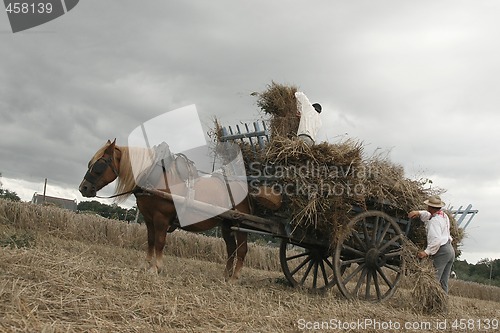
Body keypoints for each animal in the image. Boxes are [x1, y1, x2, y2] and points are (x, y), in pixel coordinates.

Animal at [80, 139, 252, 278]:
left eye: (100, 164)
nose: (83, 188)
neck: (154, 177)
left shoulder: (161, 218)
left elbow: (160, 241)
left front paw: (156, 268)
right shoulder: (148, 218)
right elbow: (150, 240)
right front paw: (146, 264)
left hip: (240, 224)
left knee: (242, 250)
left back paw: (234, 278)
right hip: (227, 225)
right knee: (231, 249)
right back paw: (226, 275)